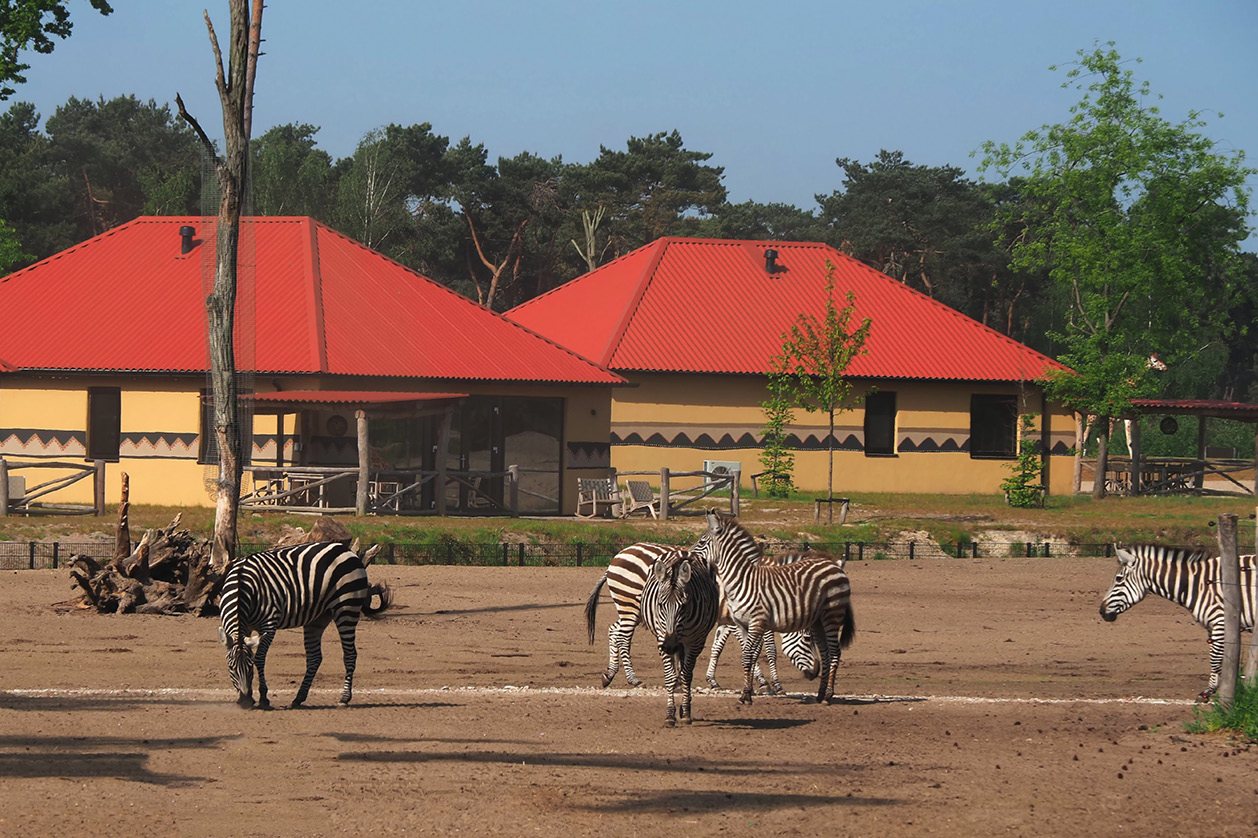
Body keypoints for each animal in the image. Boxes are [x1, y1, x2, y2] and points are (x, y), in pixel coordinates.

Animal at [216, 541, 389, 704]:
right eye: (230, 667)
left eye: (250, 666)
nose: (245, 701)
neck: (242, 585)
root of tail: (346, 550)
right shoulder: (247, 627)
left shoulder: (270, 623)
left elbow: (260, 658)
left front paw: (264, 698)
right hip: (318, 617)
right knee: (315, 658)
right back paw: (299, 698)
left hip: (347, 607)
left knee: (350, 654)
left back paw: (345, 697)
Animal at [581, 538, 815, 689]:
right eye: (808, 639)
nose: (815, 674)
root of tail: (619, 554)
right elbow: (763, 649)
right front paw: (770, 682)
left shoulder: (726, 620)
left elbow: (718, 647)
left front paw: (711, 679)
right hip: (630, 606)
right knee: (622, 637)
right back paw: (633, 678)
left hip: (633, 609)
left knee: (613, 630)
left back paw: (610, 674)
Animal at [644, 548, 724, 724]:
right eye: (660, 604)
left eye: (684, 605)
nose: (670, 645)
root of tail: (681, 551)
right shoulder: (661, 637)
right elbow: (670, 677)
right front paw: (669, 714)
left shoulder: (693, 641)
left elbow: (687, 675)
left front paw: (686, 712)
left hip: (694, 641)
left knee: (687, 670)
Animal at [1096, 541, 1252, 699]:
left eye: (1119, 578)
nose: (1101, 611)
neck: (1196, 584)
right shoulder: (1212, 626)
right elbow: (1219, 658)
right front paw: (1219, 688)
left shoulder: (1220, 622)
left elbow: (1215, 659)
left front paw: (1212, 692)